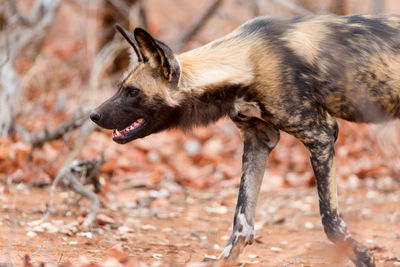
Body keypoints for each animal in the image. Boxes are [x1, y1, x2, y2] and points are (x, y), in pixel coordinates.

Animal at [89, 15, 400, 267]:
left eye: (133, 92)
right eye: (120, 88)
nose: (93, 115)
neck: (247, 61)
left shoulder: (321, 135)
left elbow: (330, 221)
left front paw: (363, 256)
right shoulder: (259, 139)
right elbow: (241, 222)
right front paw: (225, 260)